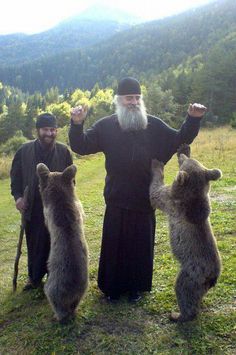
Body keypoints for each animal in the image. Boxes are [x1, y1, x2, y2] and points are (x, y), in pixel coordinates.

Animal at [37, 164, 88, 326]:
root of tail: (72, 289)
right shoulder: (78, 206)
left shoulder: (47, 213)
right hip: (81, 292)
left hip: (53, 290)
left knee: (59, 307)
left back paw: (58, 317)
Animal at [150, 144, 222, 322]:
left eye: (182, 162)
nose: (181, 155)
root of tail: (212, 277)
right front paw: (184, 148)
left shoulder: (171, 201)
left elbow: (155, 192)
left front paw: (156, 164)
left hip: (191, 274)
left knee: (183, 291)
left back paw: (178, 315)